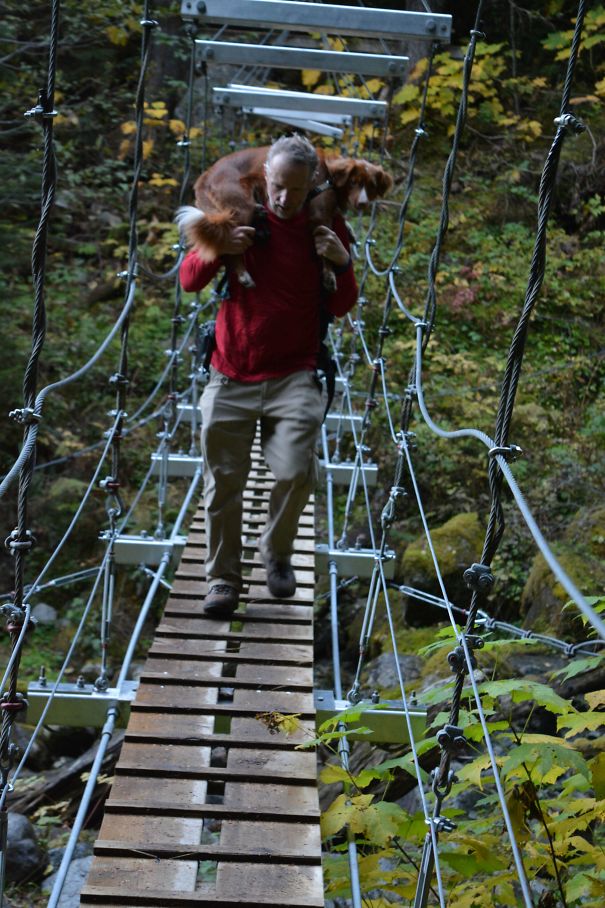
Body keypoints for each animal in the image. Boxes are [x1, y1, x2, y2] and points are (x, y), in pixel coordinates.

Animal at [175, 146, 392, 290]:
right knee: (229, 249)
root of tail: (204, 177)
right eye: (354, 182)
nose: (362, 203)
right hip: (240, 207)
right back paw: (244, 275)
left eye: (371, 185)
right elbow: (326, 252)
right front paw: (329, 276)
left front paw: (348, 228)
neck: (329, 176)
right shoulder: (319, 216)